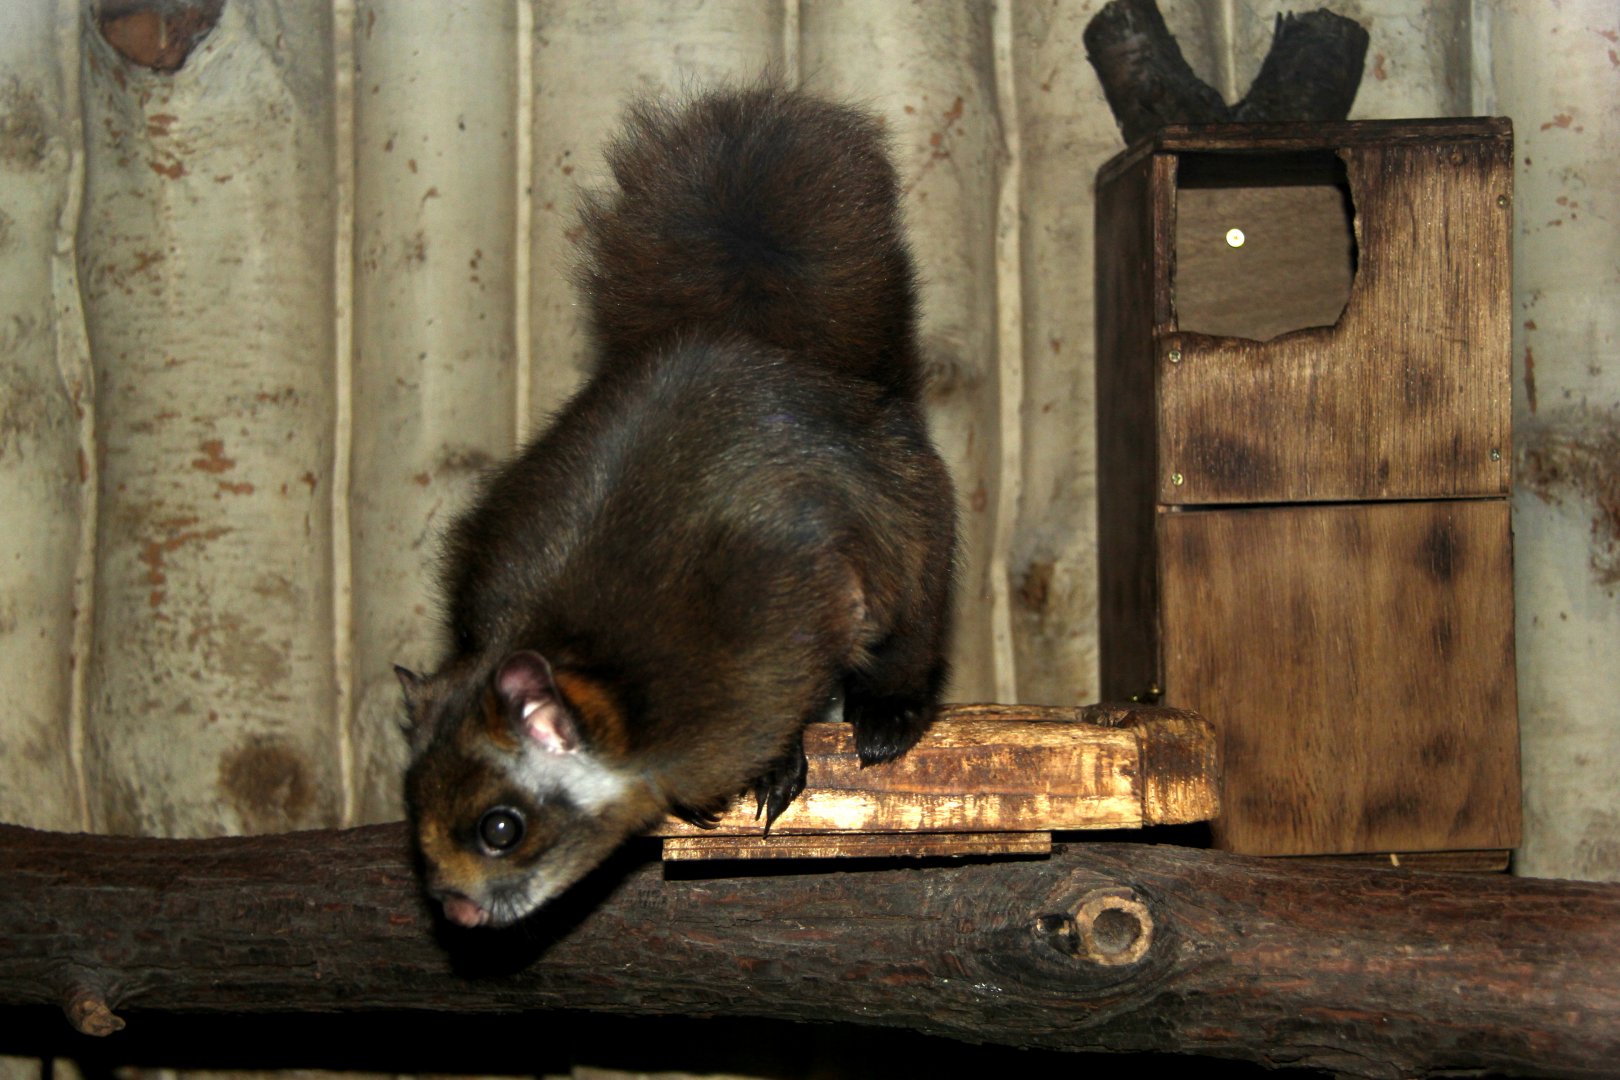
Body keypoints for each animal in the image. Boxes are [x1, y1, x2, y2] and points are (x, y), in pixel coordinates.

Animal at [399, 84, 956, 929]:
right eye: (414, 815)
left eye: (501, 828)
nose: (456, 913)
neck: (626, 687)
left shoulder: (800, 604)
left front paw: (782, 765)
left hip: (916, 558)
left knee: (910, 646)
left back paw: (887, 716)